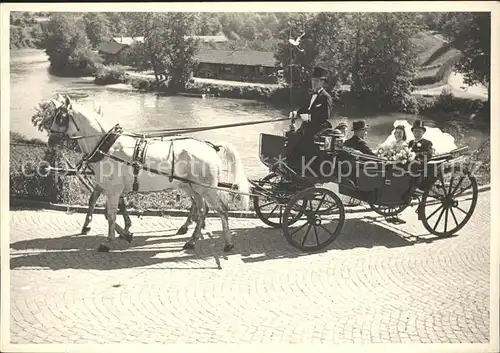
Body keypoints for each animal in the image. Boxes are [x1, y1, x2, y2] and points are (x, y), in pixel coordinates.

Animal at [47, 95, 250, 252]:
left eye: (61, 118)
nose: (50, 140)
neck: (107, 146)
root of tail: (210, 147)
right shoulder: (111, 189)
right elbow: (108, 210)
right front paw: (126, 233)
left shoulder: (113, 190)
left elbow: (110, 215)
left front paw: (108, 241)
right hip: (192, 188)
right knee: (201, 210)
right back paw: (191, 240)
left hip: (206, 189)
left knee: (221, 211)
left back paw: (227, 243)